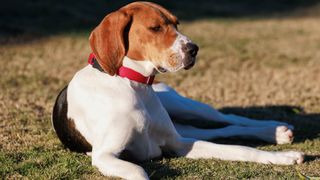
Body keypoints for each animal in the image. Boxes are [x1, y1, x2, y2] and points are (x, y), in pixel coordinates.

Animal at [51, 1, 304, 180]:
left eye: (177, 24)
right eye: (155, 28)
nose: (194, 49)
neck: (132, 84)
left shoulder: (178, 144)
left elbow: (241, 149)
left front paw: (284, 158)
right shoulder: (105, 156)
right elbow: (138, 171)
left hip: (185, 107)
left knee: (228, 118)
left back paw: (275, 130)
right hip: (182, 127)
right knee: (219, 130)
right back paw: (278, 133)